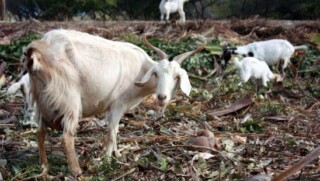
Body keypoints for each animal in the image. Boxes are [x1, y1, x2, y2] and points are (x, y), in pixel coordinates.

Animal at [23, 29, 202, 175]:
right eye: (156, 74)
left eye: (177, 77)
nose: (162, 97)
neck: (141, 71)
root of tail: (39, 49)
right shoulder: (118, 104)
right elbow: (111, 133)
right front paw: (107, 160)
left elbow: (115, 131)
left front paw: (117, 154)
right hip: (68, 99)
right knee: (66, 137)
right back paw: (76, 170)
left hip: (41, 99)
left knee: (40, 133)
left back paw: (44, 166)